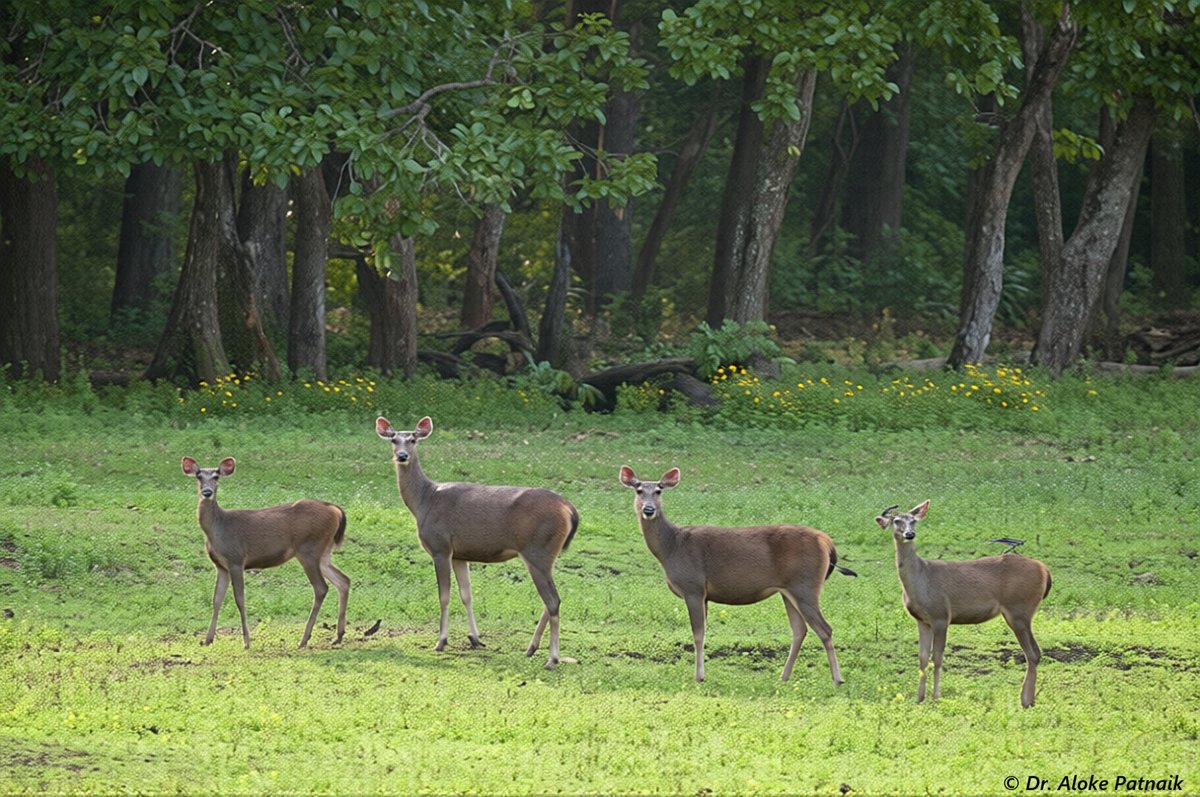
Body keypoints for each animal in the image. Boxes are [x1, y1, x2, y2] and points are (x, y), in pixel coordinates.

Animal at [181, 457, 350, 649]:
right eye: (199, 476)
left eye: (216, 476)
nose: (207, 492)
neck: (218, 529)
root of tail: (335, 510)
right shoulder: (220, 566)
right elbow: (216, 600)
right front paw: (207, 640)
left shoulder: (236, 559)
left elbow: (239, 599)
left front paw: (246, 642)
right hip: (323, 552)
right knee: (343, 580)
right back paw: (338, 636)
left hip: (308, 548)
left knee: (321, 588)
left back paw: (304, 639)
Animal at [375, 416, 579, 669]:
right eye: (394, 439)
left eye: (413, 439)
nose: (402, 456)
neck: (424, 501)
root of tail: (569, 509)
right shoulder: (460, 554)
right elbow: (467, 594)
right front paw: (474, 638)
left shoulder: (441, 546)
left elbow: (444, 595)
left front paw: (441, 641)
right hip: (547, 554)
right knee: (552, 600)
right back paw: (531, 648)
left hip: (537, 550)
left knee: (552, 600)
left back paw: (552, 659)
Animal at [619, 466, 856, 684]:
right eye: (639, 490)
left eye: (659, 491)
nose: (649, 509)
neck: (672, 547)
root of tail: (827, 543)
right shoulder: (704, 595)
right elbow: (703, 633)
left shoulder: (693, 586)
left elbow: (698, 634)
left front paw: (699, 677)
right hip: (789, 590)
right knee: (800, 629)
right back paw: (784, 676)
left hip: (805, 585)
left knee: (824, 629)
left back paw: (837, 679)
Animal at [877, 500, 1052, 708]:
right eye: (896, 521)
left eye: (913, 521)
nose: (910, 534)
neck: (921, 580)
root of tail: (1045, 570)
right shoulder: (922, 620)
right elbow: (922, 658)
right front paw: (919, 699)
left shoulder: (941, 615)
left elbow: (937, 657)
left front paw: (936, 698)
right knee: (1036, 653)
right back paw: (1029, 700)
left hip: (1019, 609)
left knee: (1032, 653)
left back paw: (1025, 701)